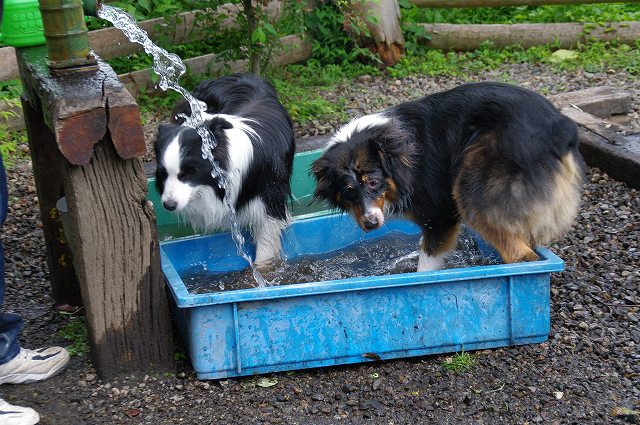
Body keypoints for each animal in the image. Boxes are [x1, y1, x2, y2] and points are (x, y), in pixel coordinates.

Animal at [155, 74, 296, 264]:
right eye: (163, 174)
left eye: (189, 172)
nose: (168, 205)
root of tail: (244, 75)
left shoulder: (270, 205)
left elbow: (265, 251)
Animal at [312, 81, 584, 270]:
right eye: (348, 192)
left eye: (372, 182)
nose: (370, 224)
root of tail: (558, 126)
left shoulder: (440, 215)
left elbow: (426, 266)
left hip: (471, 183)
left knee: (520, 253)